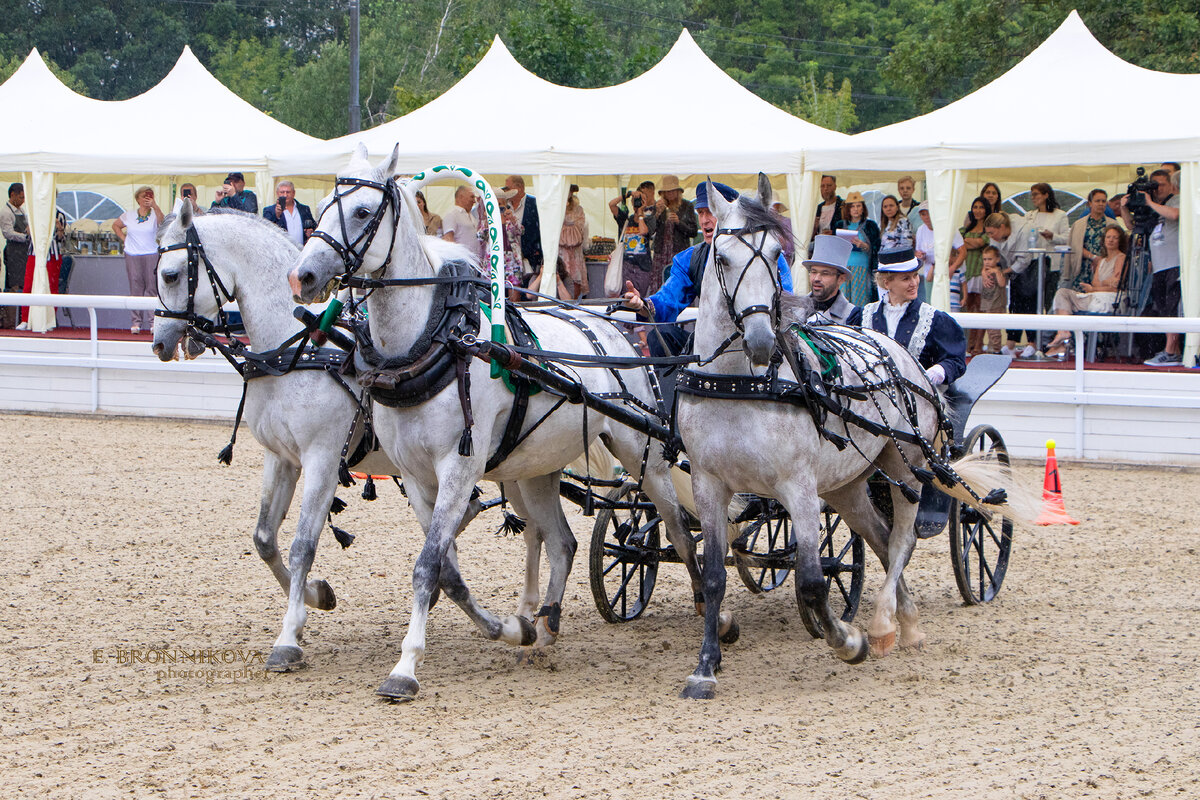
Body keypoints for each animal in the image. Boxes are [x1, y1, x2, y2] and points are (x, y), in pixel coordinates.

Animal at [676, 176, 1022, 700]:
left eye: (776, 252)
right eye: (722, 256)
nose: (760, 340)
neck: (740, 384)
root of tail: (898, 353)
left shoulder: (798, 488)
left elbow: (813, 581)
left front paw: (845, 640)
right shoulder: (708, 484)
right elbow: (713, 575)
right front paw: (705, 666)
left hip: (907, 466)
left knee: (902, 540)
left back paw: (881, 625)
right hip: (847, 485)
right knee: (878, 538)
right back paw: (906, 621)